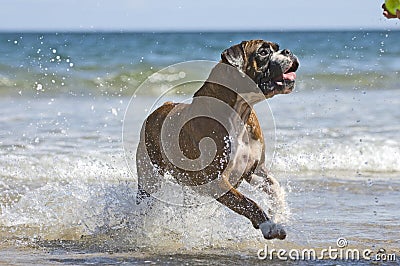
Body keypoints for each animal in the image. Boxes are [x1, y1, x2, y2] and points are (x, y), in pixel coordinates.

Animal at [136, 40, 298, 241]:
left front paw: (279, 214)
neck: (240, 111)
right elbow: (248, 202)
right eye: (263, 52)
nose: (288, 51)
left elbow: (275, 188)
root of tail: (159, 109)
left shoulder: (254, 171)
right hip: (149, 179)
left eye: (277, 48)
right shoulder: (217, 180)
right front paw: (269, 226)